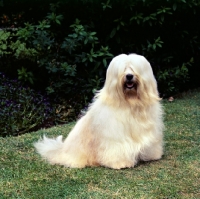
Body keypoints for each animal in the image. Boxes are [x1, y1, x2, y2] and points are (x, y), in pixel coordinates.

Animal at [33, 53, 163, 169]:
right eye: (123, 69)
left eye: (133, 68)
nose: (129, 76)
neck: (130, 103)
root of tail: (61, 150)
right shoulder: (114, 135)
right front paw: (120, 163)